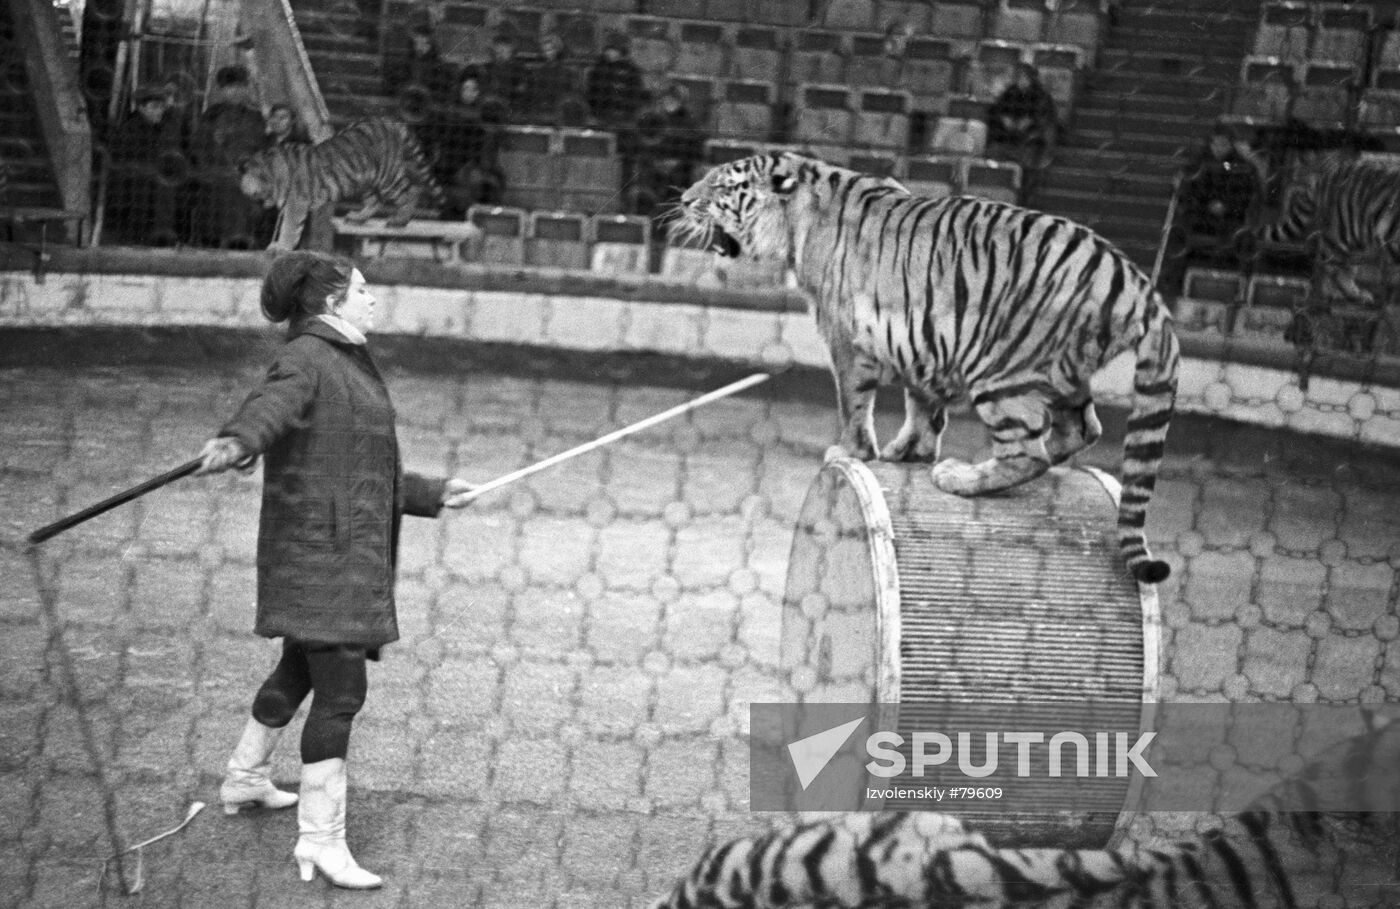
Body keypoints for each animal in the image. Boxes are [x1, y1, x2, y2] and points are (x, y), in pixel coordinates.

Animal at [235, 117, 442, 252]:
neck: (270, 176)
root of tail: (391, 122)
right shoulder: (287, 205)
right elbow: (282, 227)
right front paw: (276, 244)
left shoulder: (295, 204)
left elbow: (289, 228)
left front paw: (281, 248)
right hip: (366, 181)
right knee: (375, 200)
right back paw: (357, 218)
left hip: (387, 177)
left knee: (411, 191)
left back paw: (399, 221)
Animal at [672, 151, 1176, 582]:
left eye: (722, 186)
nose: (683, 200)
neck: (799, 220)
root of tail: (1134, 281)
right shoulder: (924, 344)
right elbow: (923, 407)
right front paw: (909, 452)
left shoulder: (846, 340)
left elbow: (854, 405)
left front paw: (850, 453)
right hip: (1061, 374)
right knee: (1083, 429)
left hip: (999, 370)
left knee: (1027, 452)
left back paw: (960, 478)